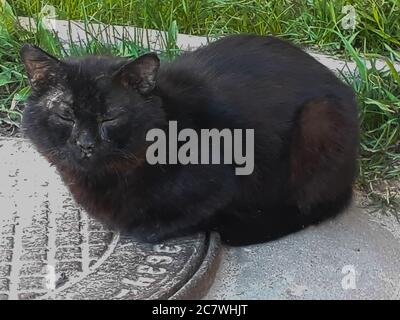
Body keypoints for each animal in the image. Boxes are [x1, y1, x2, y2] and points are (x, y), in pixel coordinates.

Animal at [20, 35, 360, 245]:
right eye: (66, 114)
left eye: (110, 118)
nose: (85, 144)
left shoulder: (224, 176)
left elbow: (158, 225)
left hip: (319, 119)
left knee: (312, 206)